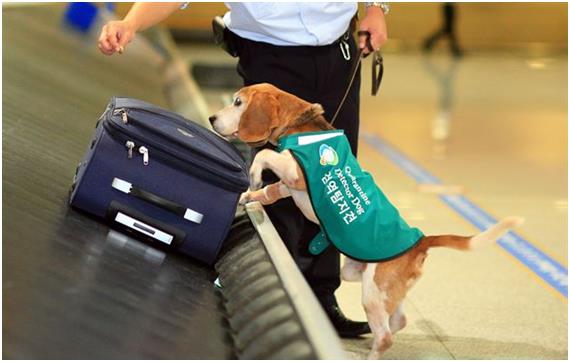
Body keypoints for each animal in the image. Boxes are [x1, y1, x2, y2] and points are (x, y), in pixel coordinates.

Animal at [209, 84, 520, 360]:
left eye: (238, 102)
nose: (211, 118)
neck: (302, 125)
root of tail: (420, 241)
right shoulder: (288, 186)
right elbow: (271, 189)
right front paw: (249, 195)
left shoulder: (295, 173)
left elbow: (265, 154)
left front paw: (254, 175)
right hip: (366, 280)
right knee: (398, 321)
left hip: (373, 291)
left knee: (386, 336)